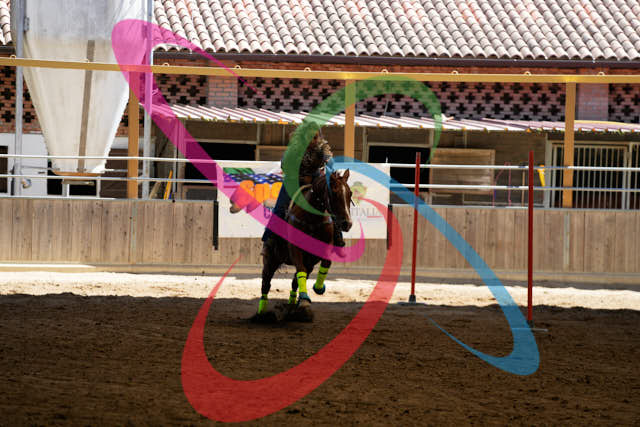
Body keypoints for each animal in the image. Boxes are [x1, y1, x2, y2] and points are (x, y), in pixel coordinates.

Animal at [257, 170, 353, 319]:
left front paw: (317, 289)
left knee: (294, 282)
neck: (312, 219)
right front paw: (304, 300)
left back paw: (292, 305)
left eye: (350, 193)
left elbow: (326, 263)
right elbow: (300, 270)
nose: (347, 224)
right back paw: (262, 312)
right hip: (270, 260)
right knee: (266, 283)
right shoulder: (295, 249)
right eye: (334, 192)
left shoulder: (317, 253)